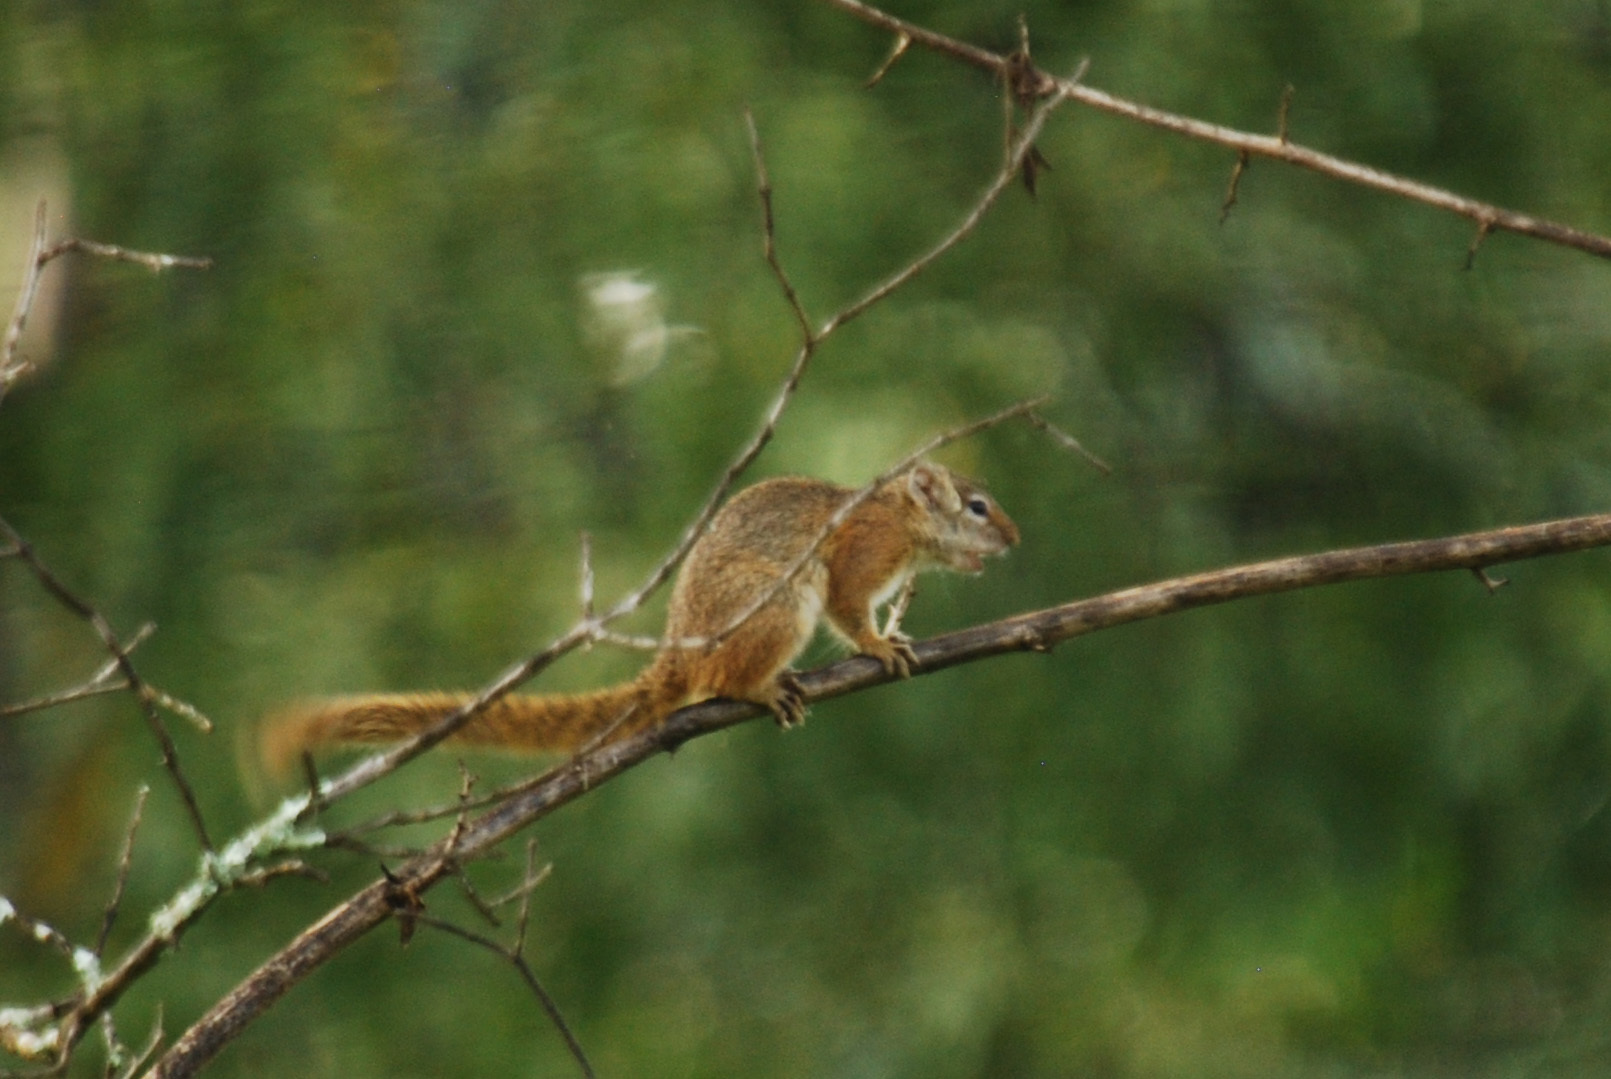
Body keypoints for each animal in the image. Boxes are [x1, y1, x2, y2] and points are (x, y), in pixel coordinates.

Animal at [262, 457, 1018, 779]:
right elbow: (849, 610)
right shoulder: (861, 555)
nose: (1015, 539)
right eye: (977, 507)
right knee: (728, 676)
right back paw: (763, 686)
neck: (898, 515)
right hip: (775, 605)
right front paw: (879, 645)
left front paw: (894, 634)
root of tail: (678, 656)